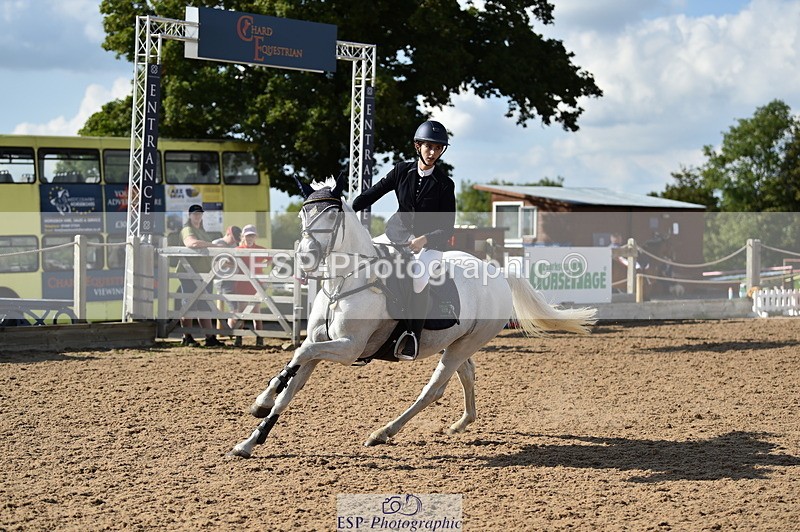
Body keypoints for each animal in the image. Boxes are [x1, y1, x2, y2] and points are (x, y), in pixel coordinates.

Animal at [228, 174, 597, 458]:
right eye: (305, 214)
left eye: (331, 217)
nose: (305, 258)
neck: (347, 281)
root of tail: (498, 272)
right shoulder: (322, 342)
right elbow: (292, 383)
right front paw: (252, 436)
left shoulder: (348, 348)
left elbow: (299, 357)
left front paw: (260, 402)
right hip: (456, 341)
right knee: (466, 374)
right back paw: (462, 422)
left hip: (465, 344)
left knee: (433, 390)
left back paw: (383, 433)